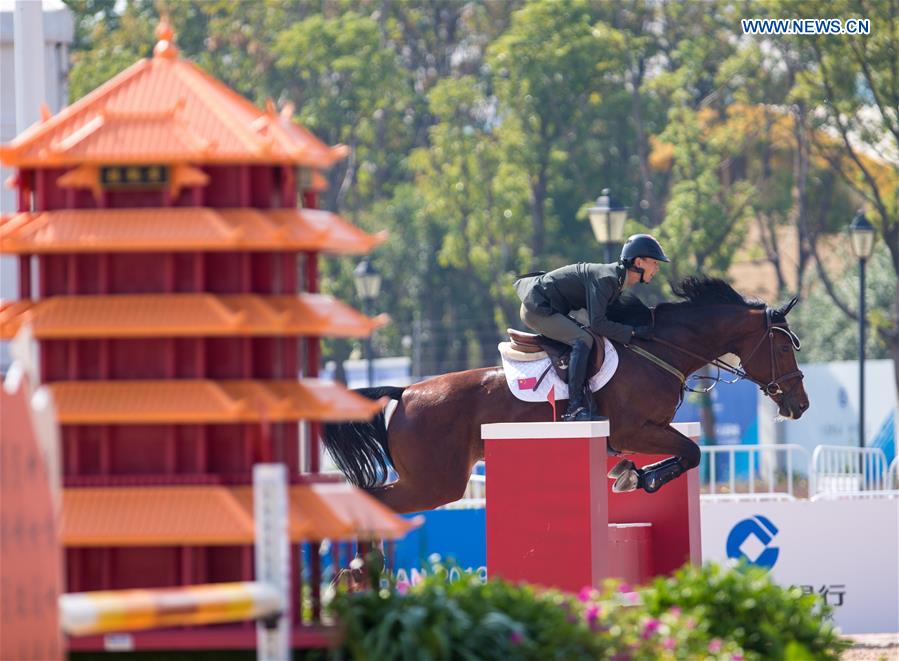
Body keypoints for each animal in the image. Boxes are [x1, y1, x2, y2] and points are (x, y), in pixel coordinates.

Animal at [324, 276, 808, 512]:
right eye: (784, 346)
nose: (800, 405)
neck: (657, 349)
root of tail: (405, 391)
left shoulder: (648, 431)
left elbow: (688, 454)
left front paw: (630, 474)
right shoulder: (634, 430)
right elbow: (692, 453)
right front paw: (639, 477)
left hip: (430, 482)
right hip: (434, 484)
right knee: (374, 501)